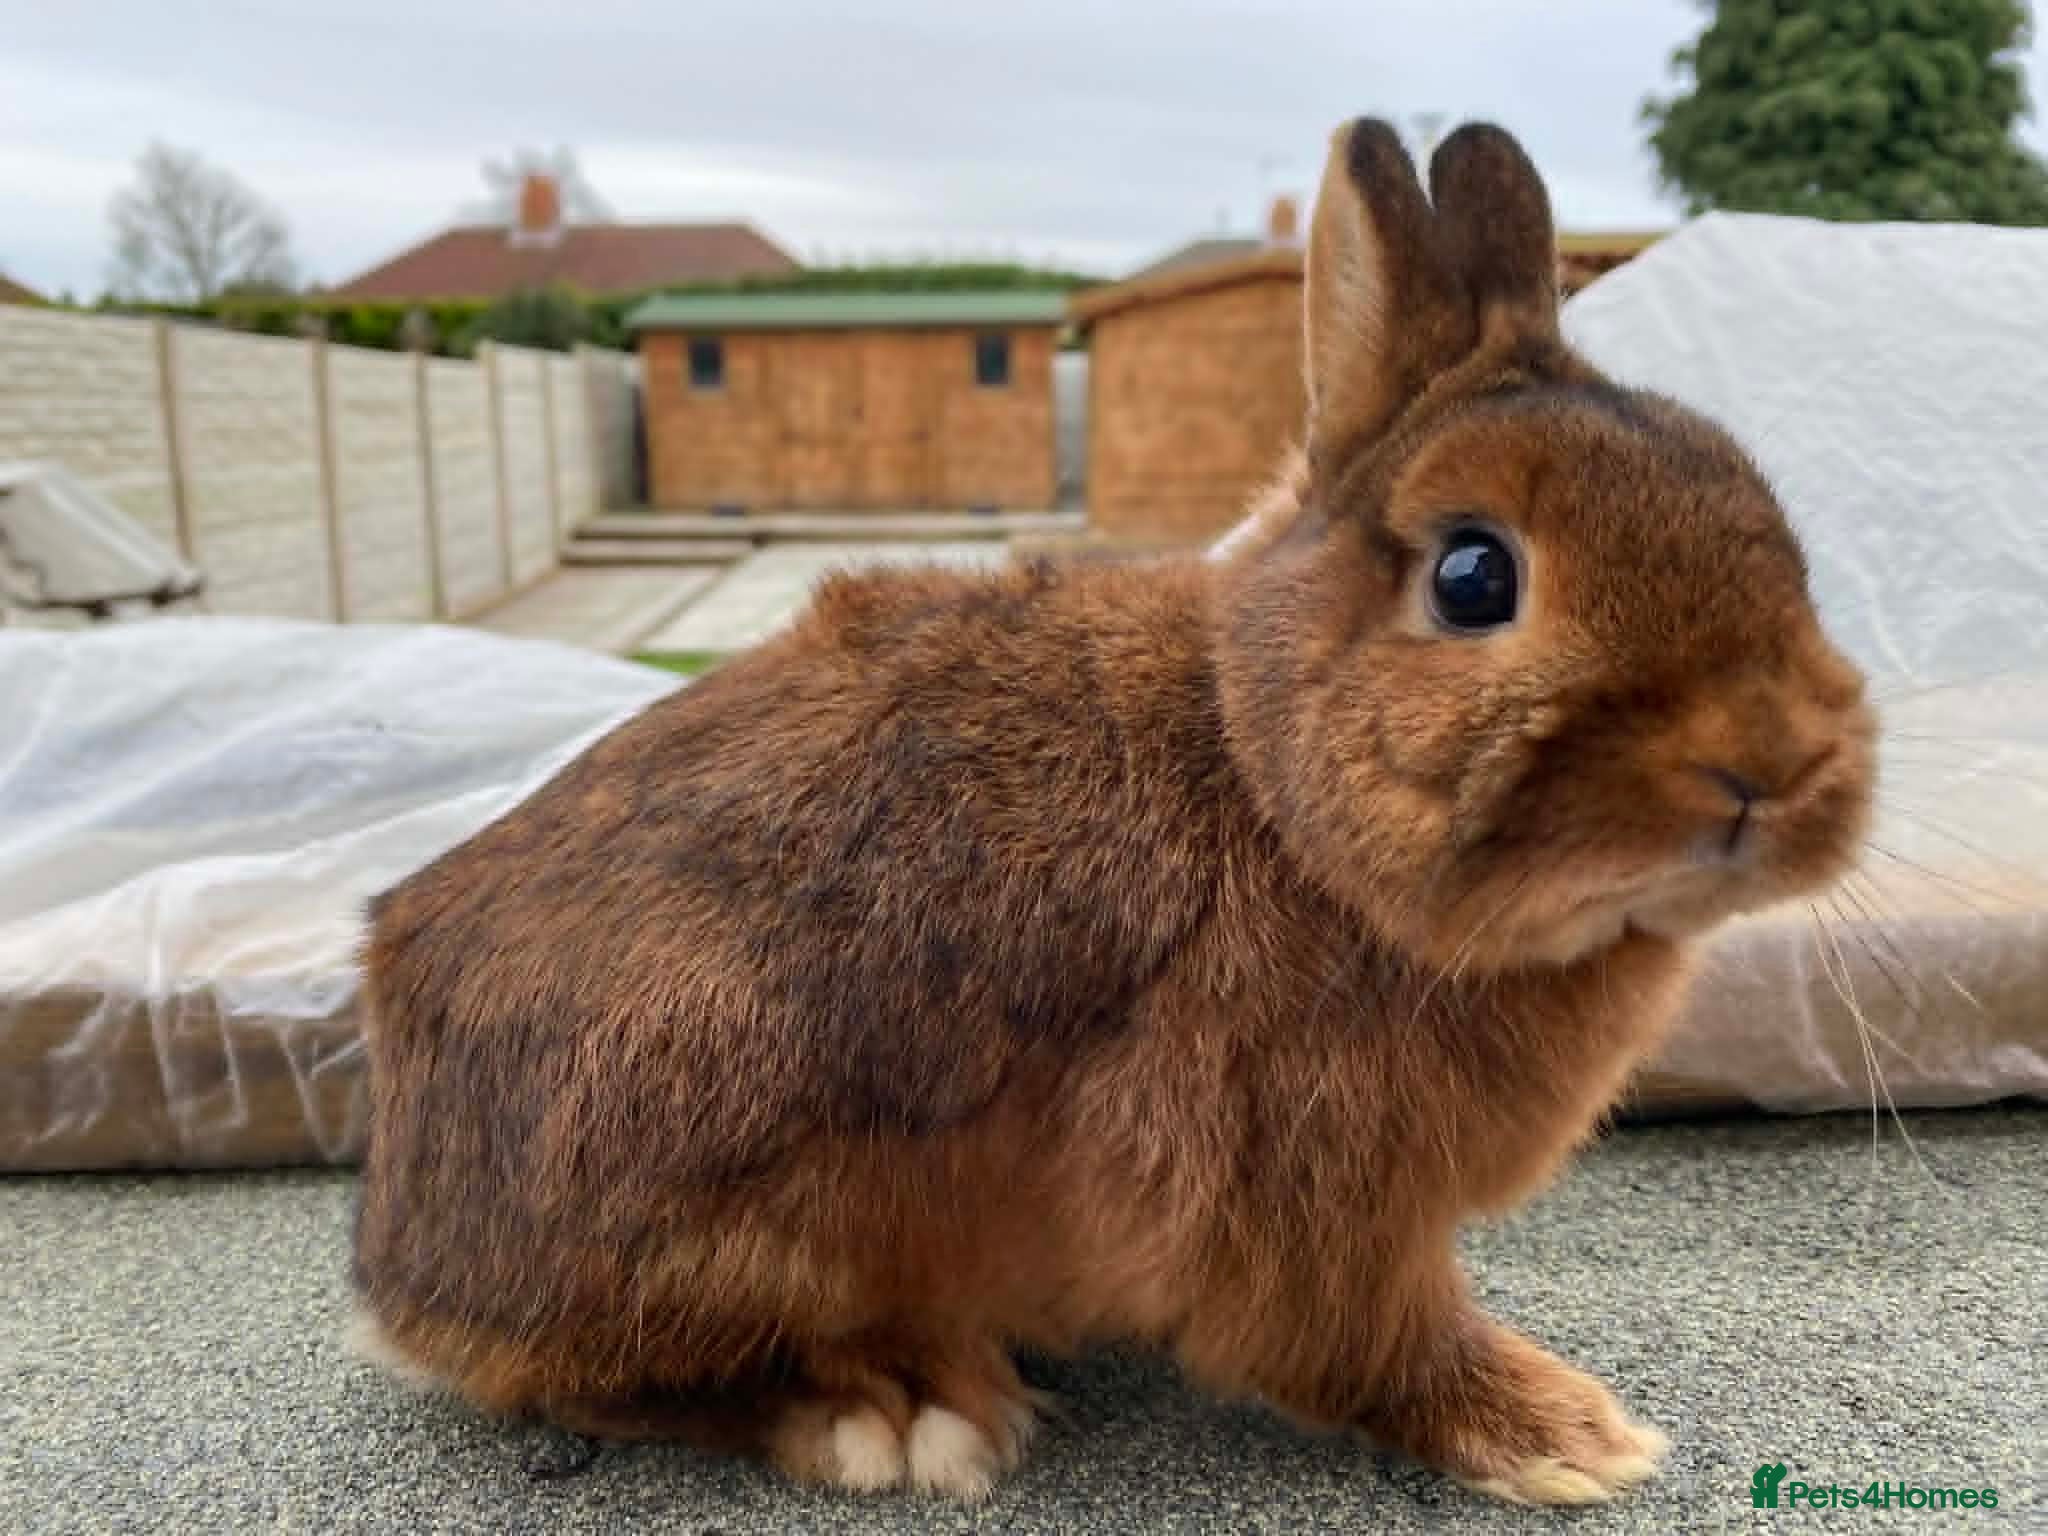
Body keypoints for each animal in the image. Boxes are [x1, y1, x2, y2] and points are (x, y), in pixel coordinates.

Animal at [350, 119, 1875, 1507]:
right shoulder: (1299, 1196)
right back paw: (894, 1413)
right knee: (609, 1375)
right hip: (713, 1164)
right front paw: (1567, 1439)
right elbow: (1372, 1341)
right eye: (1473, 578)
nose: (1774, 762)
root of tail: (400, 1268)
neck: (1265, 781)